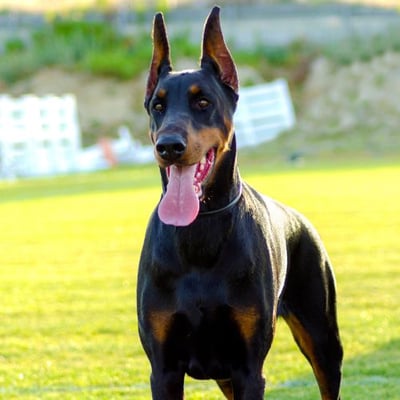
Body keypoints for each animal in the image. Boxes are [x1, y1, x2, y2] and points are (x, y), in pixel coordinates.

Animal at [138, 6, 344, 400]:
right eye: (157, 105)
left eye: (203, 102)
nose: (168, 146)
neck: (200, 230)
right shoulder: (164, 369)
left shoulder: (249, 368)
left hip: (323, 339)